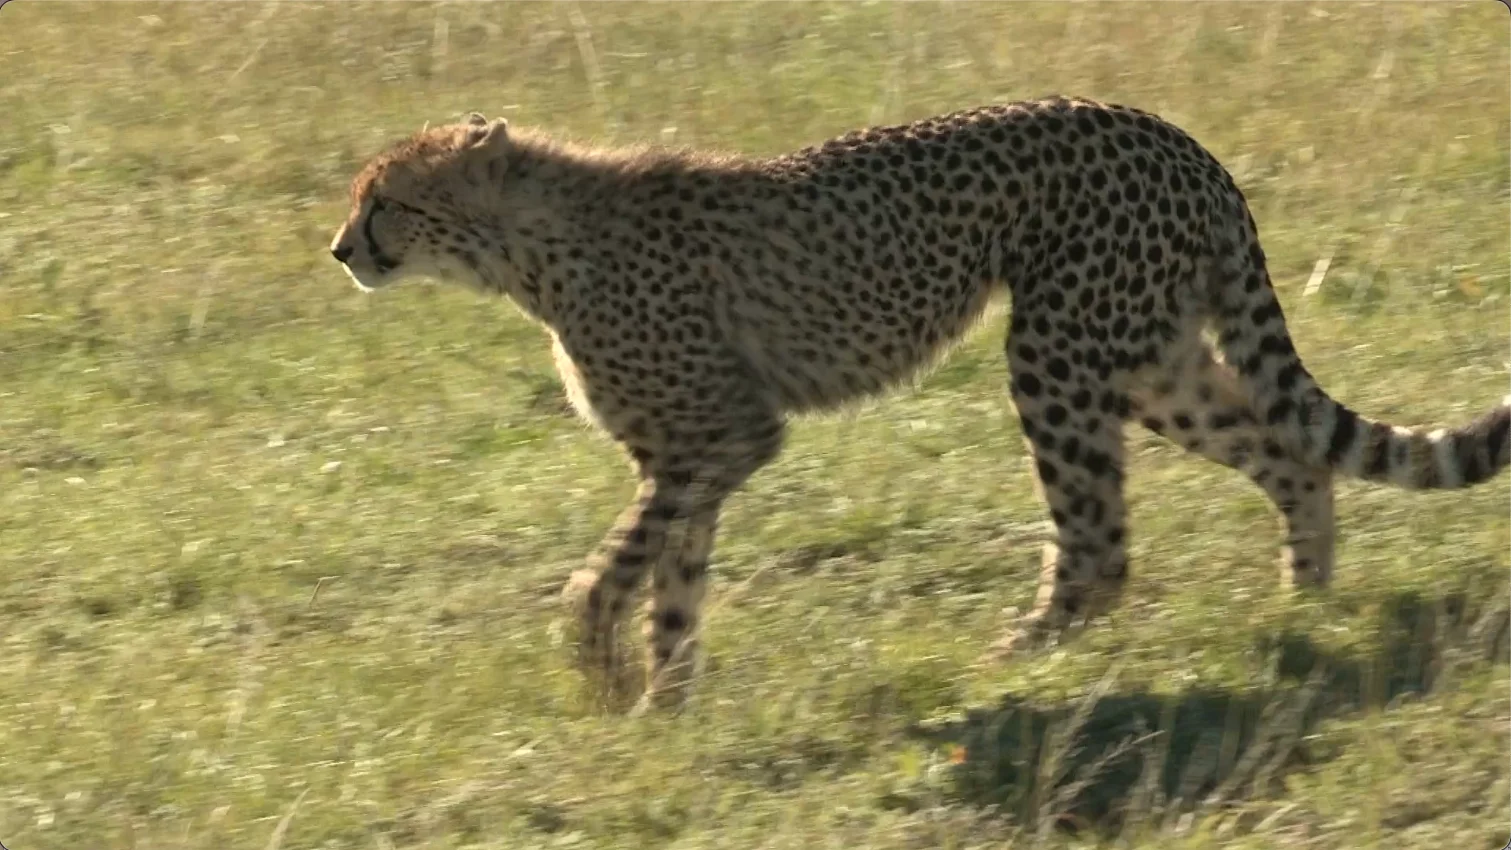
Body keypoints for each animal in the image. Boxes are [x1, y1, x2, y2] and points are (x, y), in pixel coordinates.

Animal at [329, 99, 1511, 708]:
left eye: (386, 201)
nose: (340, 249)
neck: (532, 243)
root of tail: (1170, 132)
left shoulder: (724, 434)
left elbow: (609, 569)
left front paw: (600, 664)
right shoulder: (688, 453)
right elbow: (671, 582)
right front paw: (664, 703)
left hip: (1057, 351)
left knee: (1098, 546)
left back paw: (1000, 664)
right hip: (1149, 360)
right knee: (1290, 454)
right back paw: (1300, 607)